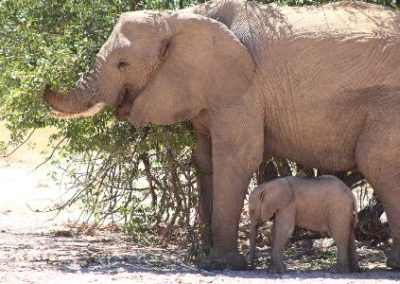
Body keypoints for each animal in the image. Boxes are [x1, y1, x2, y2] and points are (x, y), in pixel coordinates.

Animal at [44, 0, 400, 270]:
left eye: (122, 64)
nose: (45, 83)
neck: (181, 17)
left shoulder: (244, 89)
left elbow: (237, 158)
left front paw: (225, 264)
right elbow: (205, 159)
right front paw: (204, 257)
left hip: (388, 105)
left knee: (377, 163)